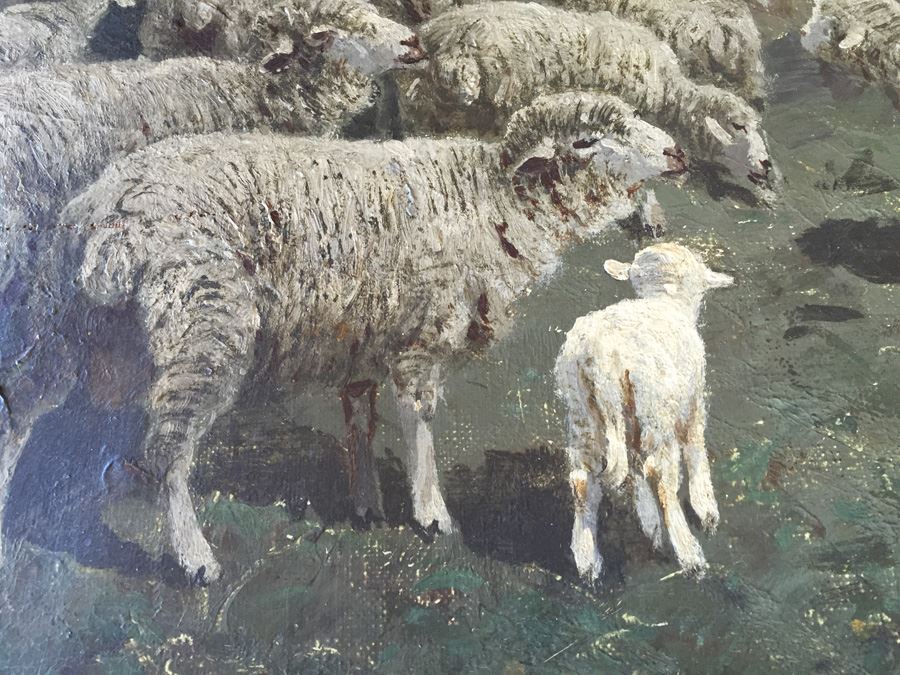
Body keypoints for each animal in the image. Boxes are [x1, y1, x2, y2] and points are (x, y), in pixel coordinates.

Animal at [0, 92, 690, 583]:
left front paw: (367, 505)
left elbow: (361, 417)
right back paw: (196, 558)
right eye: (595, 137)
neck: (491, 199)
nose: (678, 155)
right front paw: (432, 514)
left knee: (22, 410)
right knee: (169, 449)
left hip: (64, 327)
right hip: (205, 325)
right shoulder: (419, 334)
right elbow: (419, 419)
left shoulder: (363, 337)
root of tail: (111, 213)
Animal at [554, 243, 733, 580]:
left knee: (583, 479)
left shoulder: (631, 422)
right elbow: (694, 448)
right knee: (661, 477)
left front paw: (648, 522)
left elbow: (635, 467)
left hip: (583, 411)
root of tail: (600, 357)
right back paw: (689, 554)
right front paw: (704, 506)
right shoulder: (691, 403)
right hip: (655, 413)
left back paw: (586, 559)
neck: (665, 301)